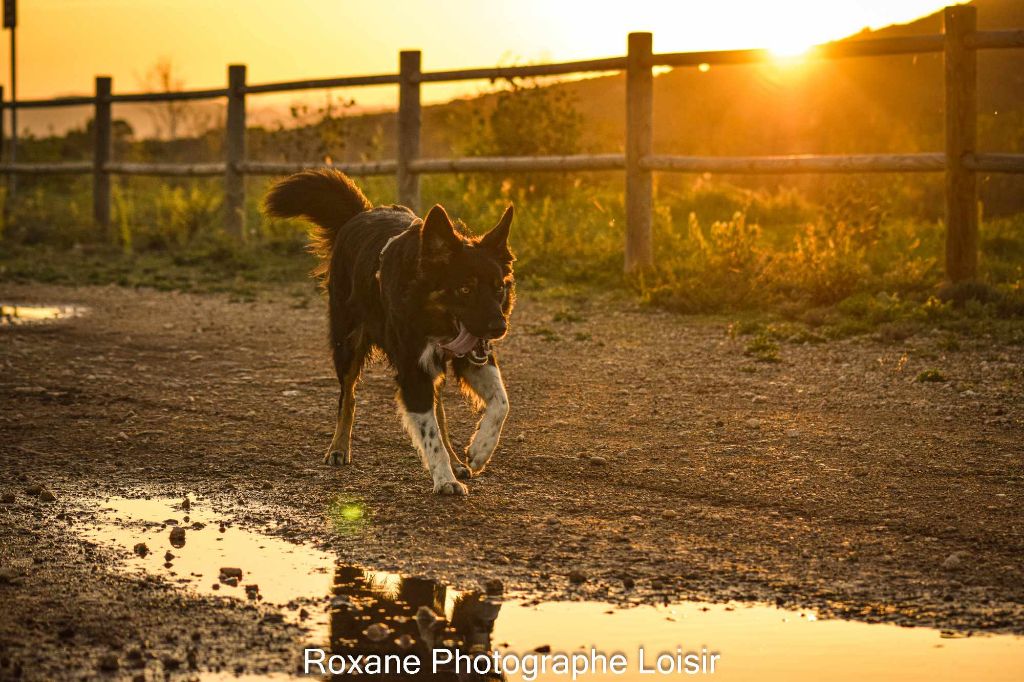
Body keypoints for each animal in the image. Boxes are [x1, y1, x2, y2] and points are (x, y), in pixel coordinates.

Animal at [264, 169, 516, 493]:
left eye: (499, 289)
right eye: (465, 289)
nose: (499, 328)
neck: (426, 308)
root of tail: (360, 214)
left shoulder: (470, 357)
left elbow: (501, 403)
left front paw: (479, 450)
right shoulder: (412, 368)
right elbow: (429, 433)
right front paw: (444, 478)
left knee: (440, 412)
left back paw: (457, 460)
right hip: (347, 343)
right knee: (348, 398)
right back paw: (338, 448)